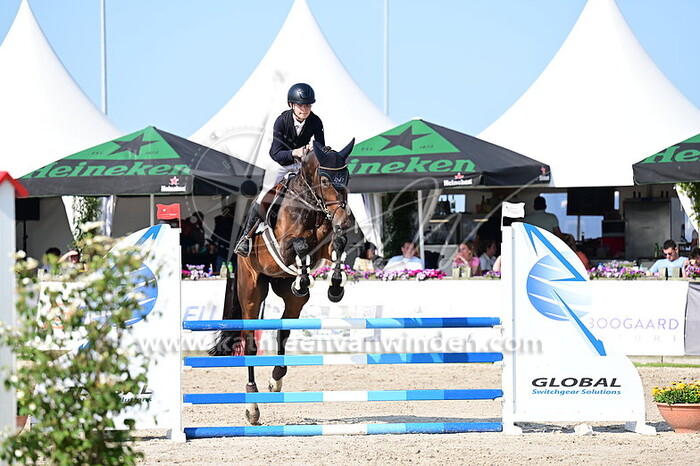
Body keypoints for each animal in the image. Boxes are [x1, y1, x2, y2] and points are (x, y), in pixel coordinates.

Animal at [210, 139, 355, 424]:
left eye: (347, 178)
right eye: (324, 180)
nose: (346, 221)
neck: (311, 206)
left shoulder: (324, 246)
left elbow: (338, 244)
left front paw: (335, 287)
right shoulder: (285, 246)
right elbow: (299, 245)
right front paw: (306, 278)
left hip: (284, 292)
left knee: (284, 329)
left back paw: (276, 379)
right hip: (252, 290)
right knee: (250, 343)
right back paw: (252, 406)